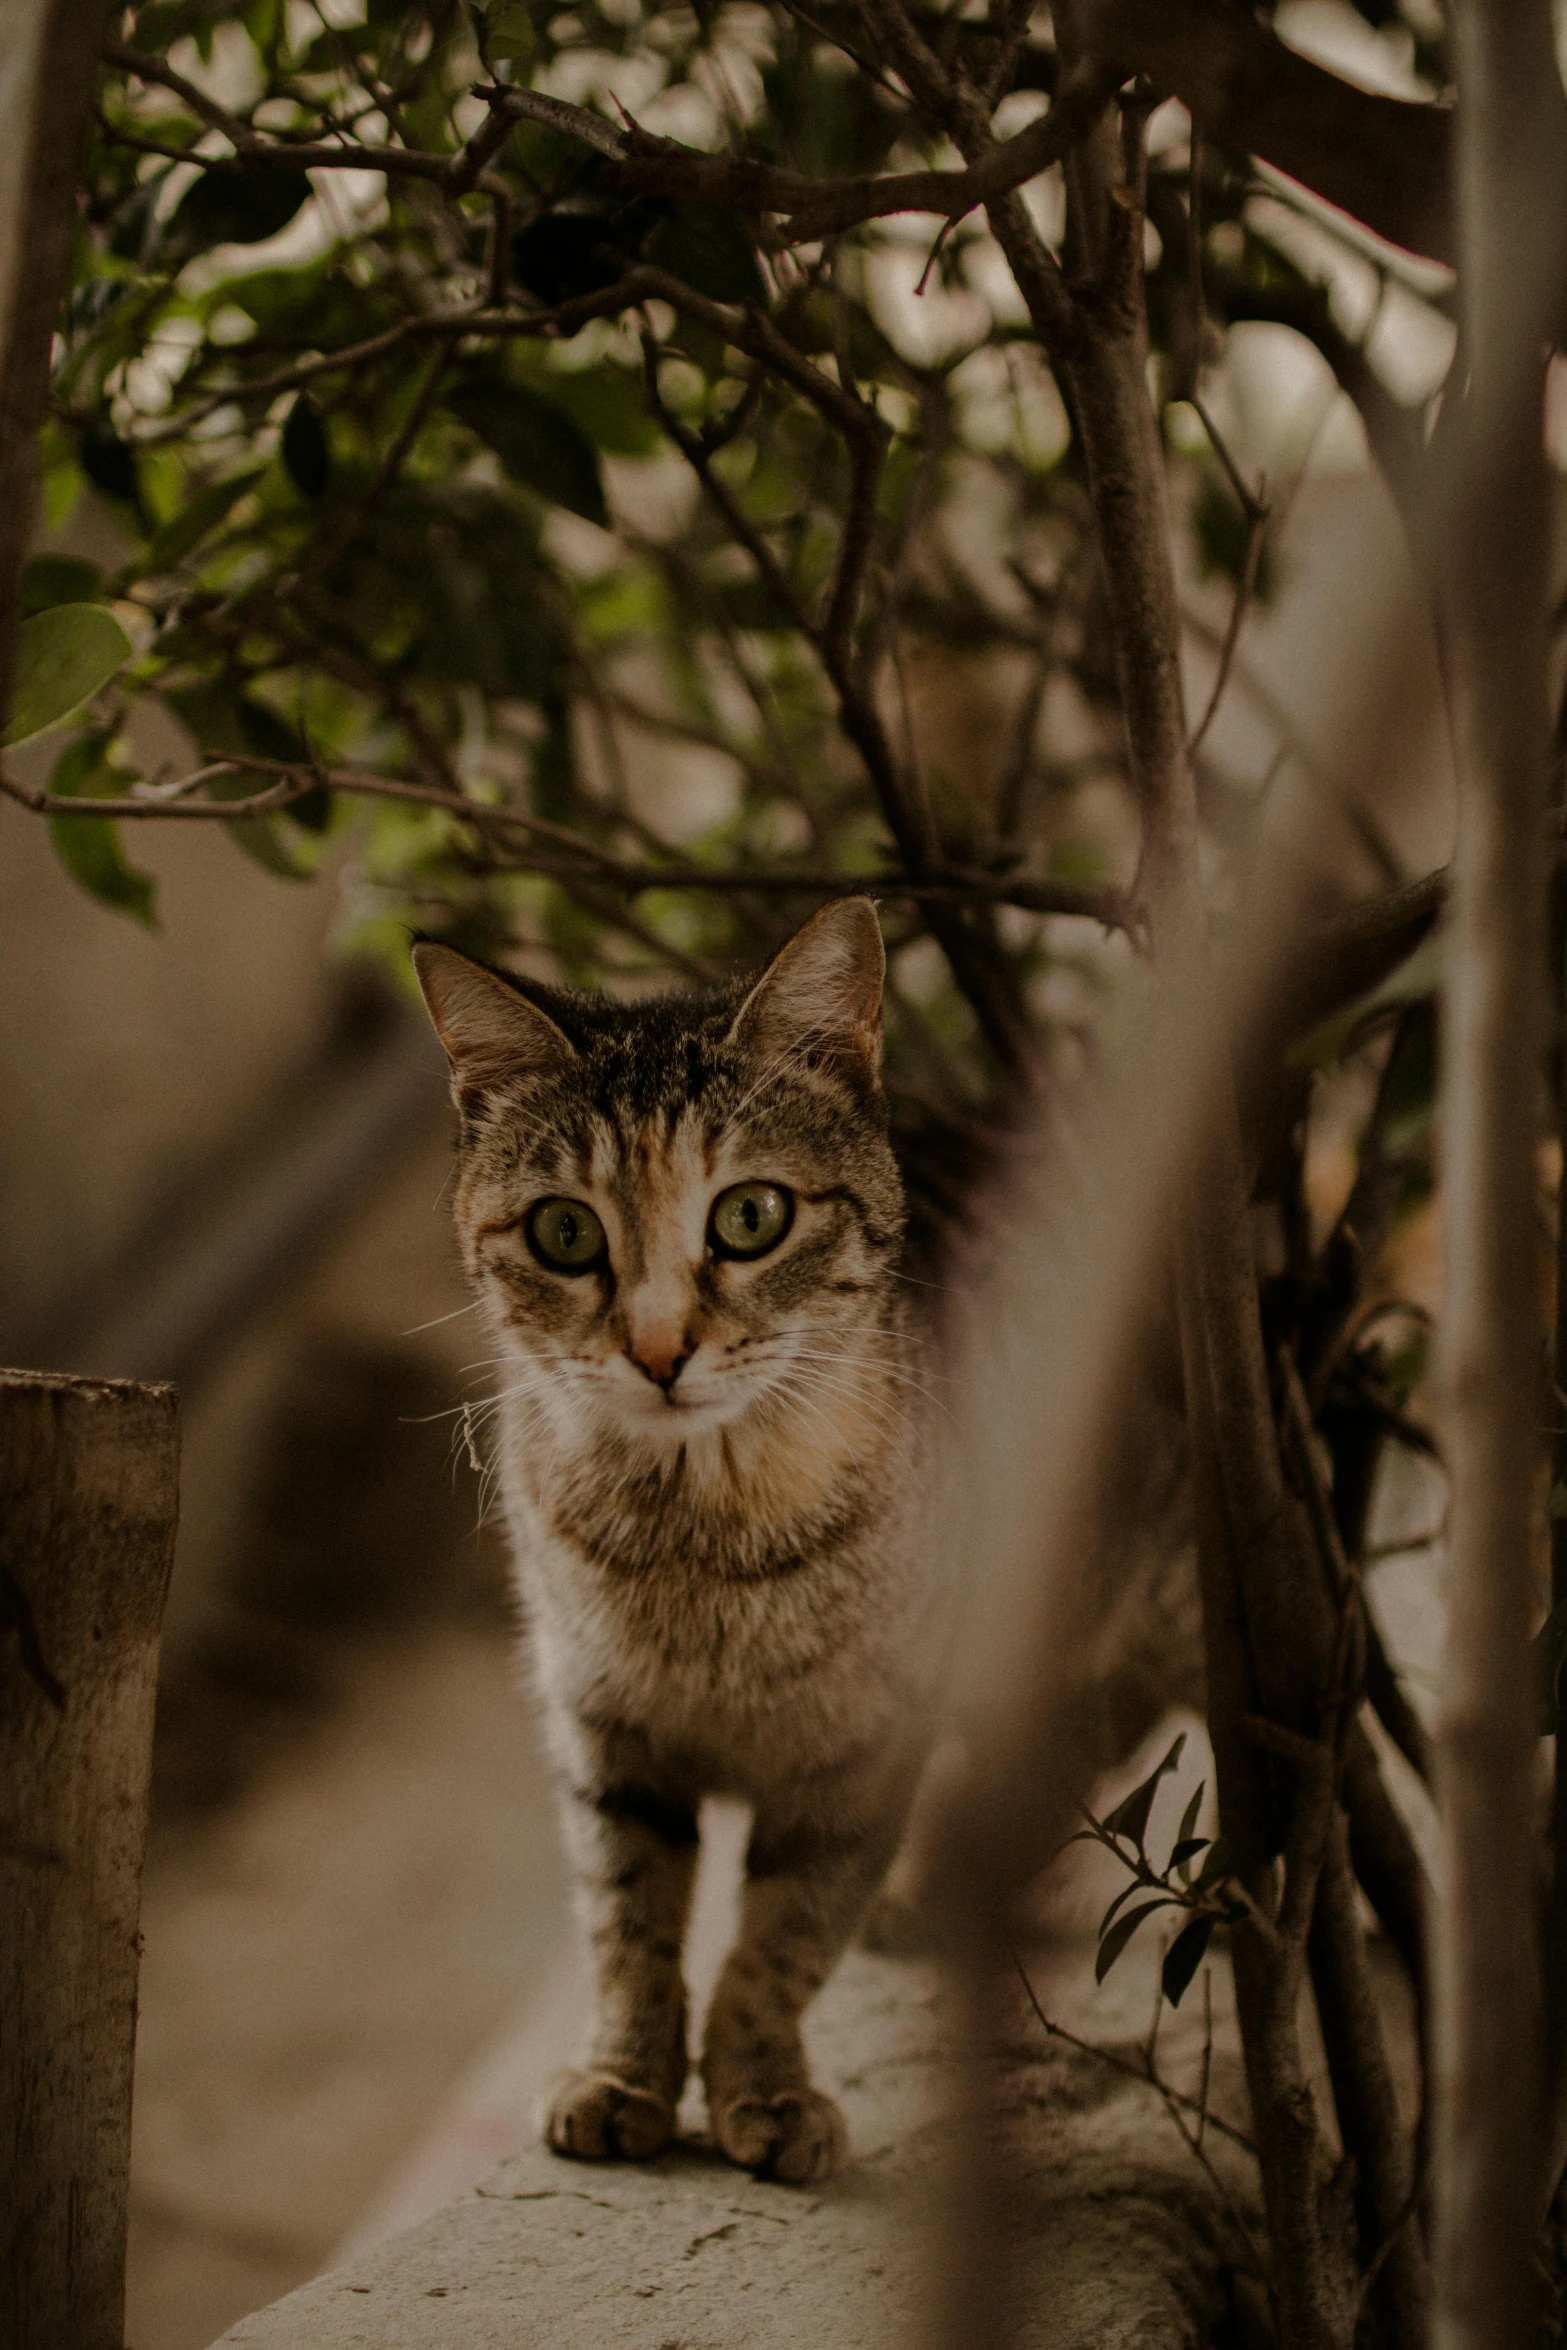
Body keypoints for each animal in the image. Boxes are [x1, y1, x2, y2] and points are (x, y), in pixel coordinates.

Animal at [411, 897, 939, 2180]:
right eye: (564, 1231)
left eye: (751, 1215)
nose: (657, 1350)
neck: (701, 1549)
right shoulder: (604, 1736)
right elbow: (627, 1916)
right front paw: (623, 2076)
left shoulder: (866, 1747)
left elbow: (787, 1932)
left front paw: (764, 2085)